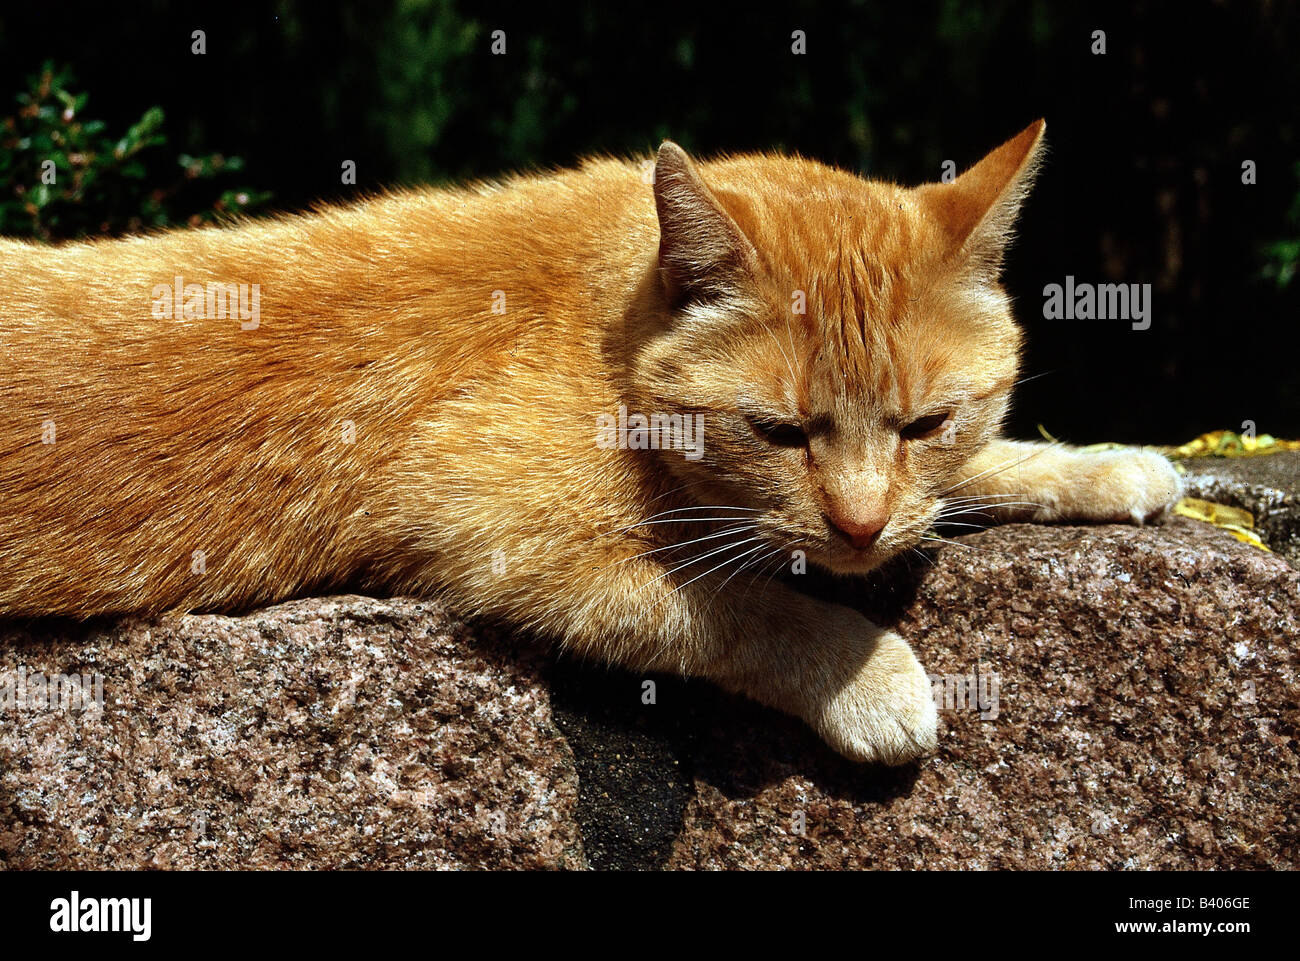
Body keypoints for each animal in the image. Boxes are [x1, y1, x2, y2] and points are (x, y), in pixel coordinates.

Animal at [0, 120, 1180, 764]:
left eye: (927, 422)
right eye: (776, 430)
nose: (856, 525)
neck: (597, 321)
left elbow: (965, 478)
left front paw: (1094, 462)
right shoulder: (502, 532)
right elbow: (738, 606)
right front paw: (868, 674)